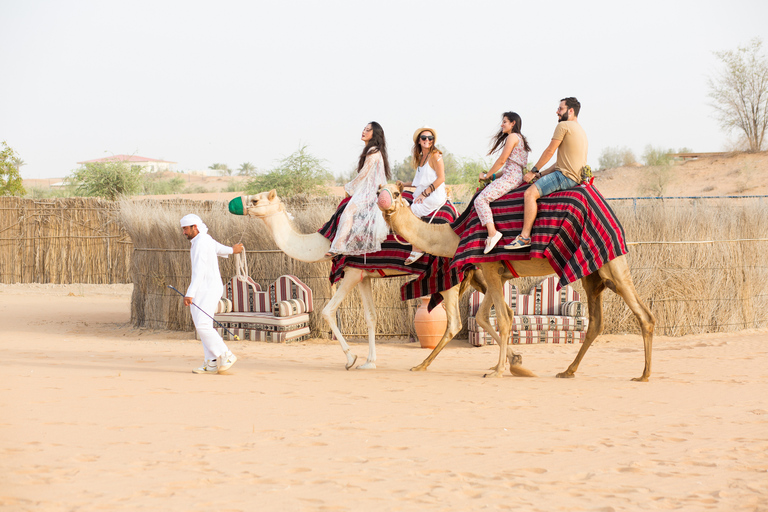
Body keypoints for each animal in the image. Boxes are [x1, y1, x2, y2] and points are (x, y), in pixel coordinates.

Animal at [225, 192, 484, 372]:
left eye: (255, 200)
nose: (234, 203)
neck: (326, 240)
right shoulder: (363, 274)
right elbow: (371, 317)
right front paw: (369, 362)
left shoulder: (350, 272)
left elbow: (327, 311)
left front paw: (351, 359)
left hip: (448, 275)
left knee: (454, 323)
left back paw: (421, 365)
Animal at [376, 183, 656, 380]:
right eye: (379, 189)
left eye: (397, 192)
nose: (383, 199)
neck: (455, 235)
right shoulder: (496, 272)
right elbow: (488, 317)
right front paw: (512, 363)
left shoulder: (490, 267)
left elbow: (503, 318)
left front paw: (498, 370)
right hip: (592, 273)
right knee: (596, 321)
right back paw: (568, 370)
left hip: (612, 264)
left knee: (644, 314)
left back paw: (643, 375)